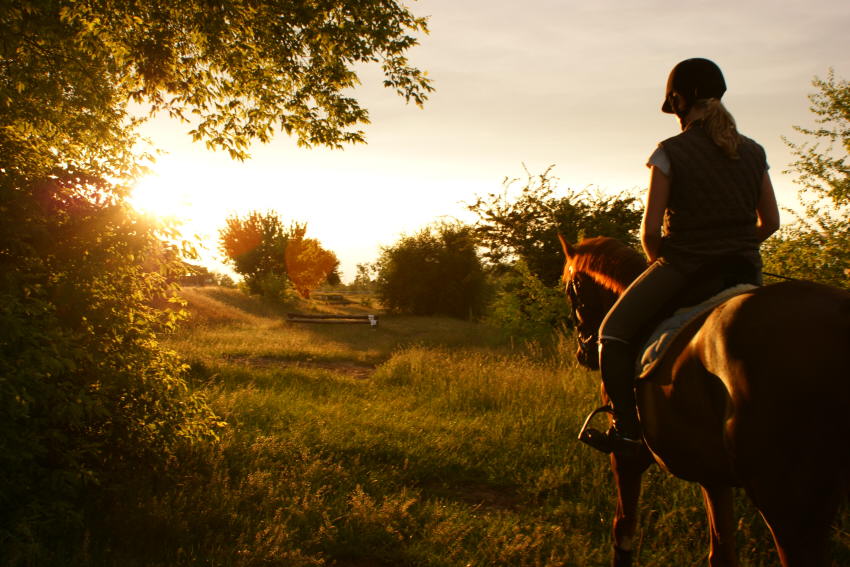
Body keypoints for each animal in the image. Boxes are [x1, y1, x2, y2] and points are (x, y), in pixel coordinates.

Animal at [556, 236, 848, 567]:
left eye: (570, 289)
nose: (584, 353)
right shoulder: (714, 476)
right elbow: (721, 551)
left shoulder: (627, 455)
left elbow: (623, 528)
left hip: (783, 499)